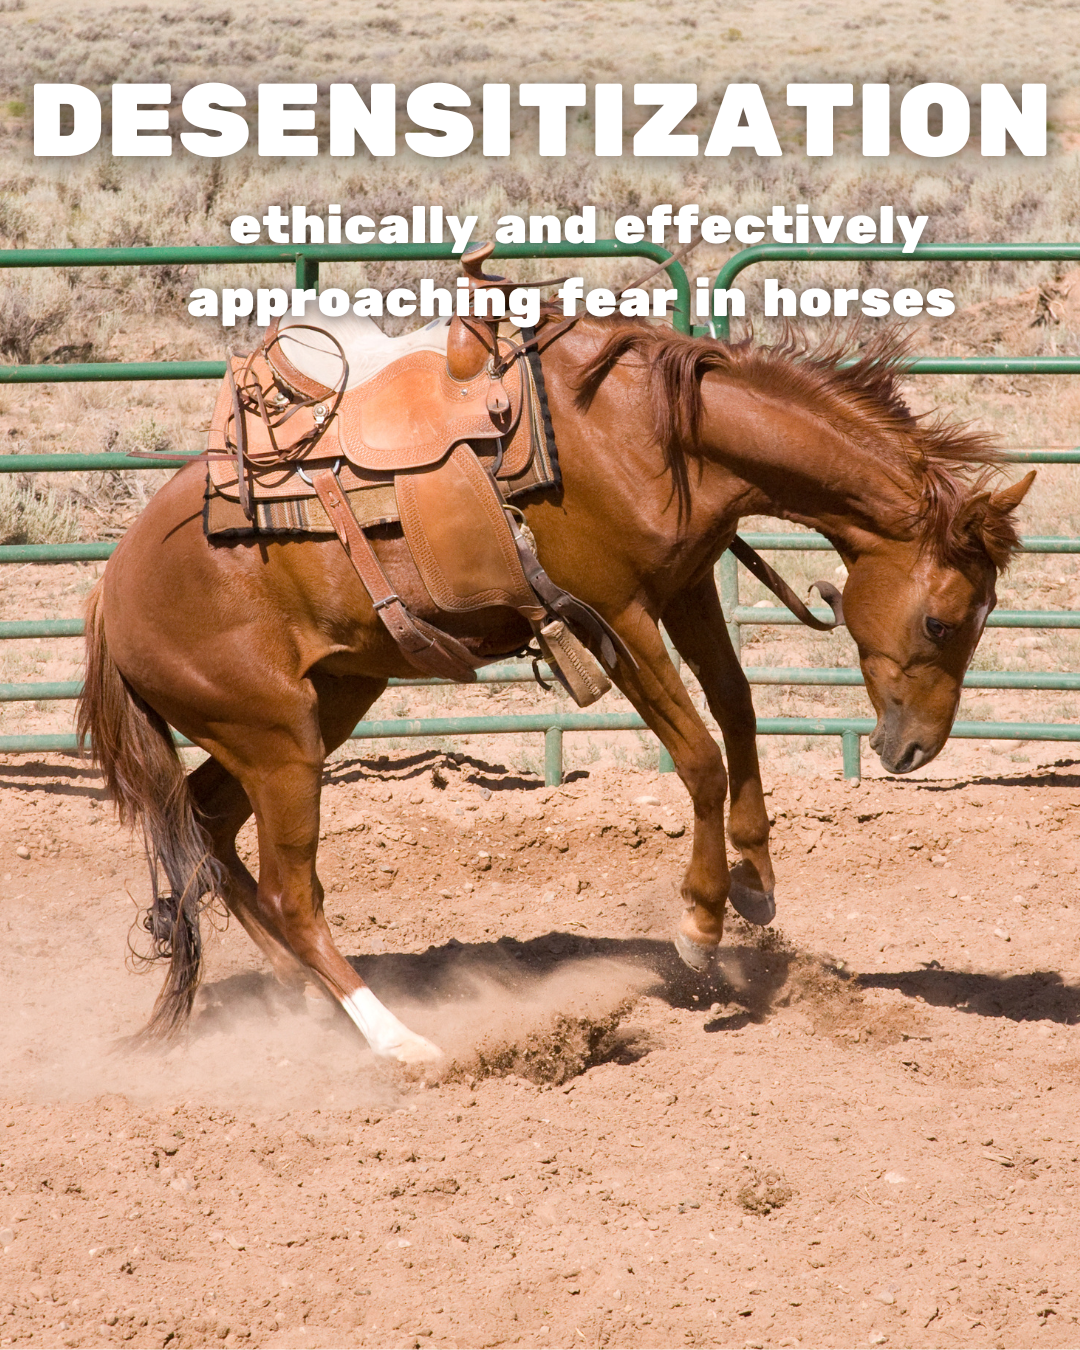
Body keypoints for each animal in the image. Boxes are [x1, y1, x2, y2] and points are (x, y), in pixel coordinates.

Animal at [77, 322, 1034, 1065]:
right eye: (944, 620)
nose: (914, 748)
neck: (655, 435)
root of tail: (112, 589)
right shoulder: (617, 615)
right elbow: (699, 755)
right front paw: (700, 924)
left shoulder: (686, 589)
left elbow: (738, 709)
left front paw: (757, 880)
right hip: (279, 742)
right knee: (290, 889)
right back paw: (395, 1039)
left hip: (321, 706)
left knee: (210, 827)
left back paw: (302, 999)